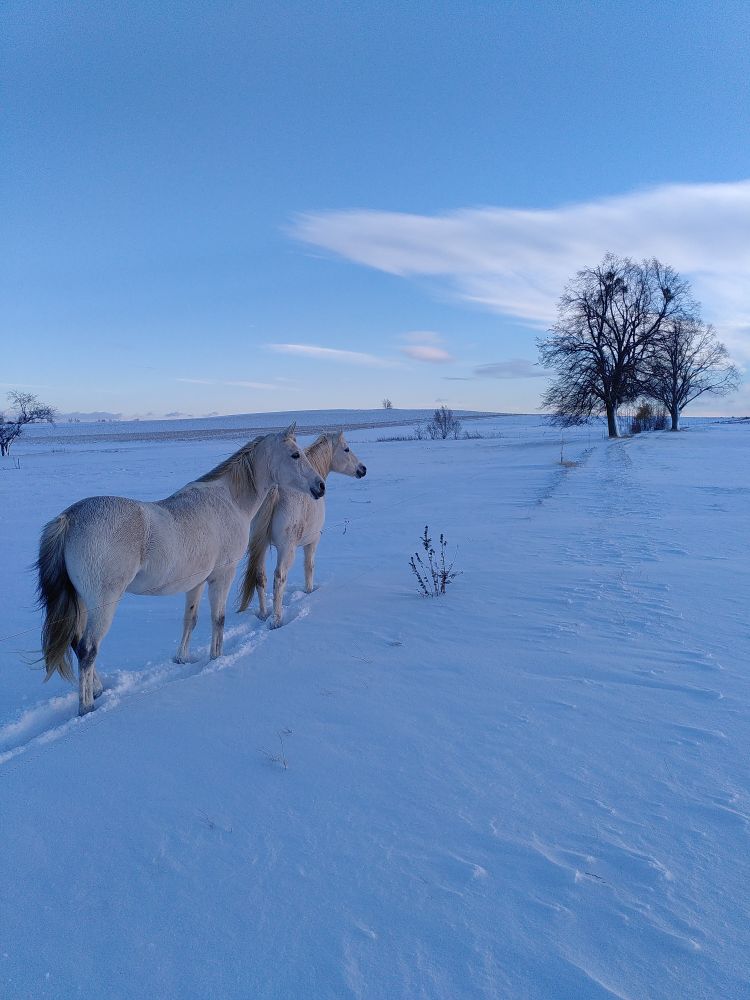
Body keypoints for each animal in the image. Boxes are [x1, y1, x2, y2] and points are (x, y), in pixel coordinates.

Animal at [36, 425, 326, 715]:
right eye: (295, 454)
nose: (320, 486)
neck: (230, 501)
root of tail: (69, 519)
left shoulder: (196, 582)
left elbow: (191, 619)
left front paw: (182, 658)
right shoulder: (222, 575)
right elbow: (218, 619)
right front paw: (216, 657)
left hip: (82, 602)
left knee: (77, 645)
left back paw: (97, 689)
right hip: (103, 604)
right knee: (88, 650)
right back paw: (87, 707)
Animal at [238, 430, 366, 628]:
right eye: (346, 449)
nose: (363, 469)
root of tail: (274, 489)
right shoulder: (313, 541)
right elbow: (309, 566)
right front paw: (309, 591)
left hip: (260, 546)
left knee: (260, 576)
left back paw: (264, 614)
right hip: (286, 549)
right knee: (279, 578)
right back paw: (276, 620)